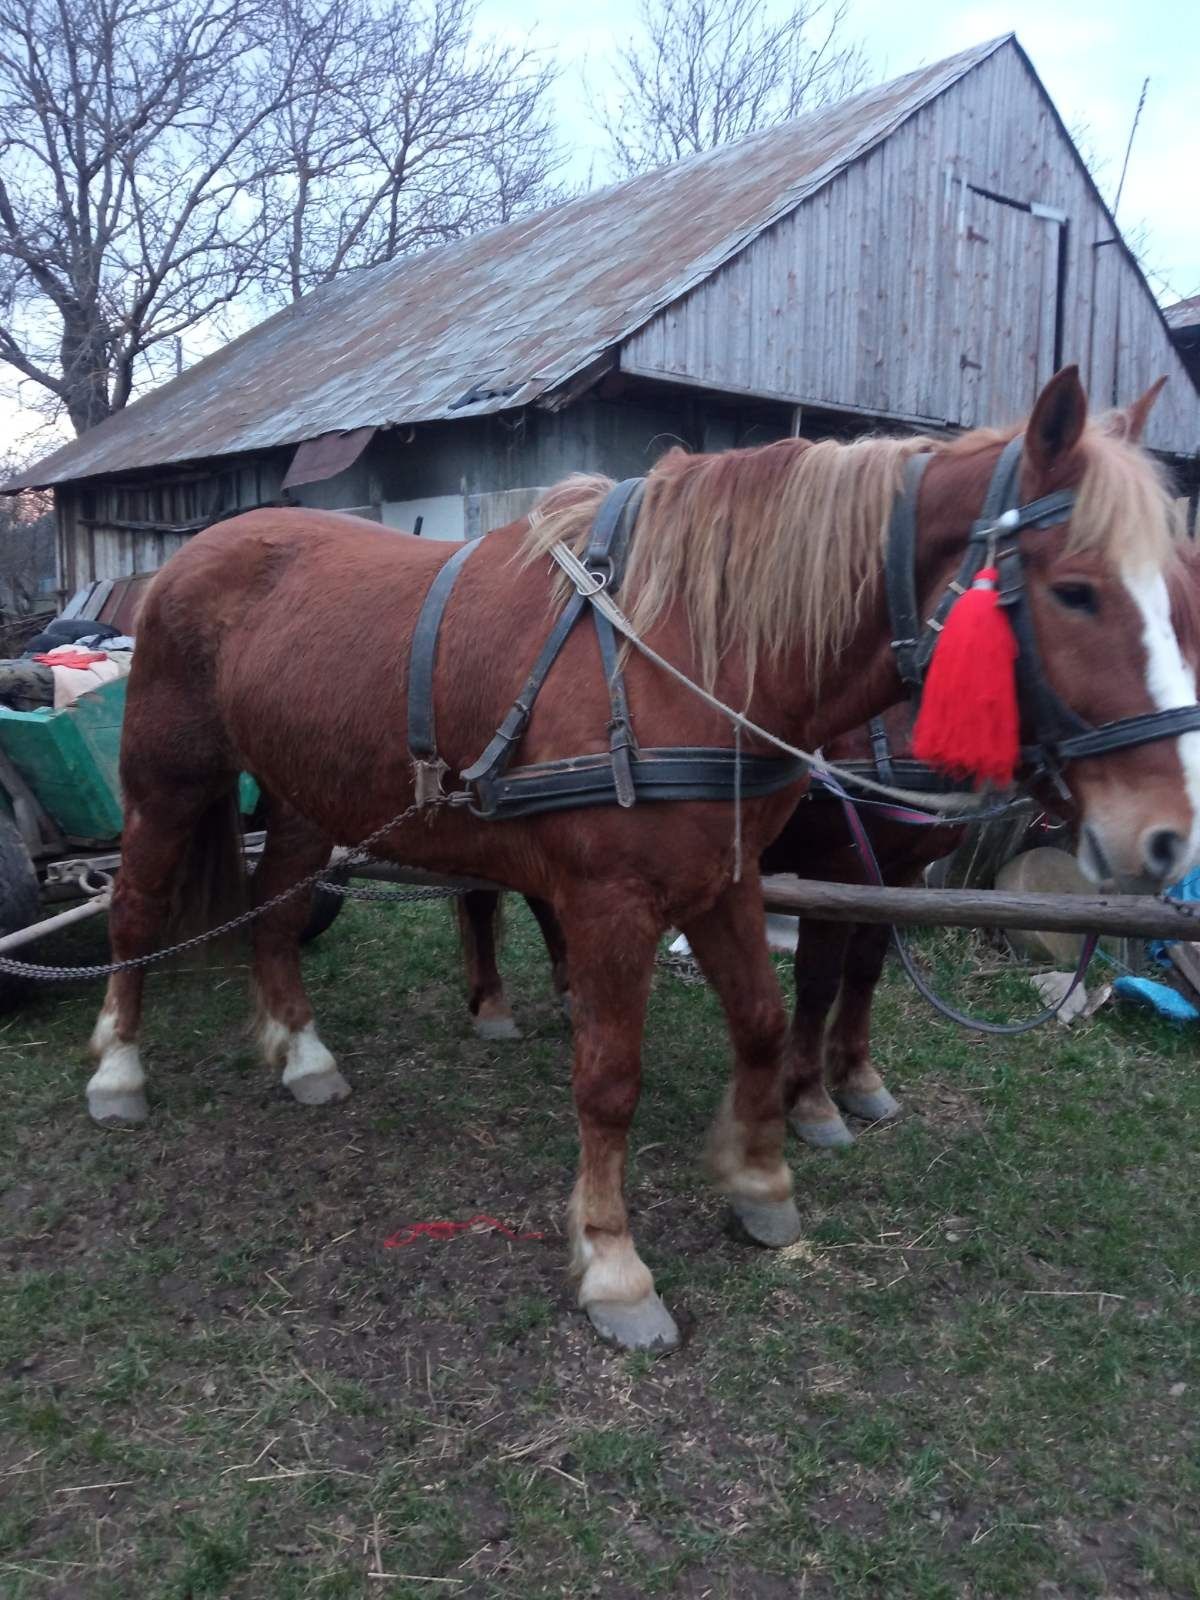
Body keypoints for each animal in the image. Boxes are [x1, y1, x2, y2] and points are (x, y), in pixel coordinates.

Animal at [86, 371, 1200, 1350]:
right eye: (1075, 592)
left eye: (1181, 595)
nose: (1166, 836)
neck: (692, 653)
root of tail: (188, 557)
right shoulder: (615, 903)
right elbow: (611, 1078)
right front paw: (615, 1267)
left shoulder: (730, 878)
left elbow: (763, 1020)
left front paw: (761, 1183)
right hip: (169, 785)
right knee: (135, 912)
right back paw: (119, 1069)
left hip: (306, 799)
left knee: (276, 915)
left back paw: (303, 1052)